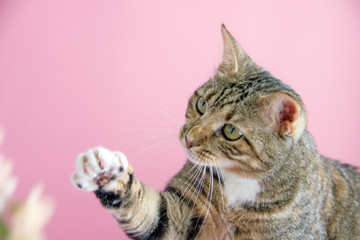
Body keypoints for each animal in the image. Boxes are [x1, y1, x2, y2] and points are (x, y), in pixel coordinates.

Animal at [71, 25, 360, 239]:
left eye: (231, 131)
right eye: (201, 104)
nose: (188, 139)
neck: (240, 182)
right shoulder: (183, 214)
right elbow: (153, 214)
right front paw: (106, 172)